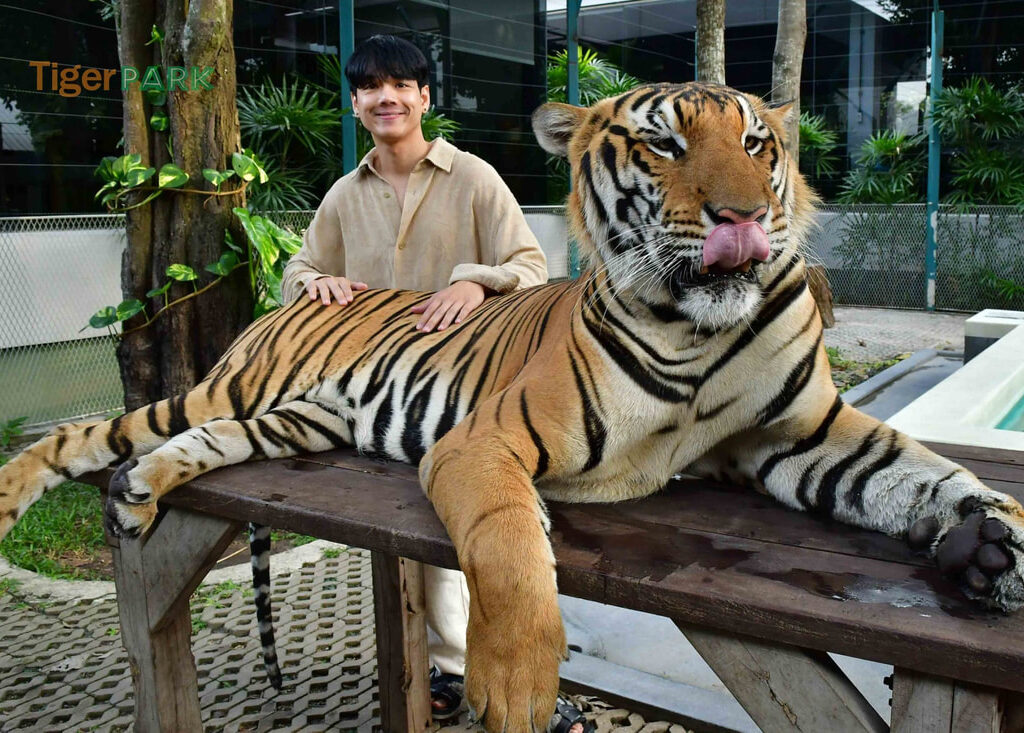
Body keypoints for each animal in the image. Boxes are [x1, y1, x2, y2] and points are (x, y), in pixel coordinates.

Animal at [1, 81, 1023, 733]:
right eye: (665, 143)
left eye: (756, 145)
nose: (741, 219)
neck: (697, 328)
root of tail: (293, 298)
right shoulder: (484, 440)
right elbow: (507, 546)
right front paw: (519, 685)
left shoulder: (800, 433)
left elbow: (914, 471)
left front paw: (989, 542)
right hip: (221, 388)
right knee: (84, 434)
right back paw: (30, 494)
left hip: (290, 418)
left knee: (200, 443)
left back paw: (140, 491)